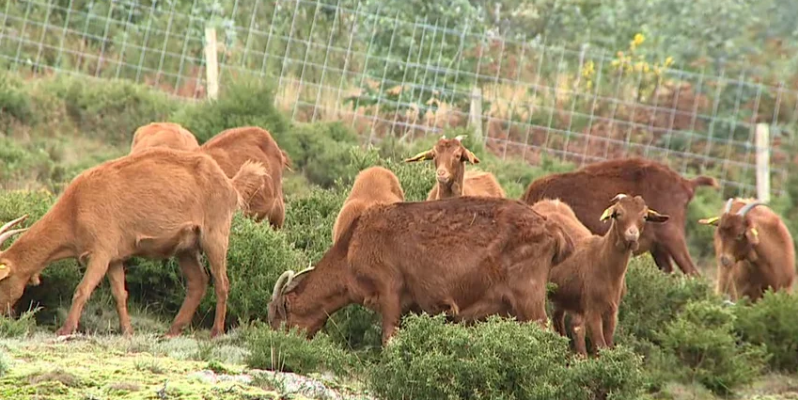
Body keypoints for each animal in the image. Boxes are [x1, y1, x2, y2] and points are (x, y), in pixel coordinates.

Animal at [0, 148, 267, 338]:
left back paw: (215, 332)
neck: (75, 209)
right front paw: (128, 331)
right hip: (186, 248)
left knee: (222, 283)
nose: (4, 316)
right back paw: (171, 331)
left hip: (215, 236)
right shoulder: (115, 258)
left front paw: (65, 329)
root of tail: (230, 184)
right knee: (197, 282)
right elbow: (120, 294)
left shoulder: (101, 252)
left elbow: (82, 290)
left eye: (1, 281)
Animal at [267, 196, 575, 345]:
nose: (276, 351)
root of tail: (554, 232)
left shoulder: (390, 290)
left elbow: (389, 339)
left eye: (279, 319)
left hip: (528, 297)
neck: (353, 246)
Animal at [534, 195, 670, 356]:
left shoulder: (612, 311)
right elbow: (600, 345)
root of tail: (548, 201)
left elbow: (608, 343)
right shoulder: (592, 309)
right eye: (618, 213)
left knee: (563, 321)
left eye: (644, 216)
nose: (632, 234)